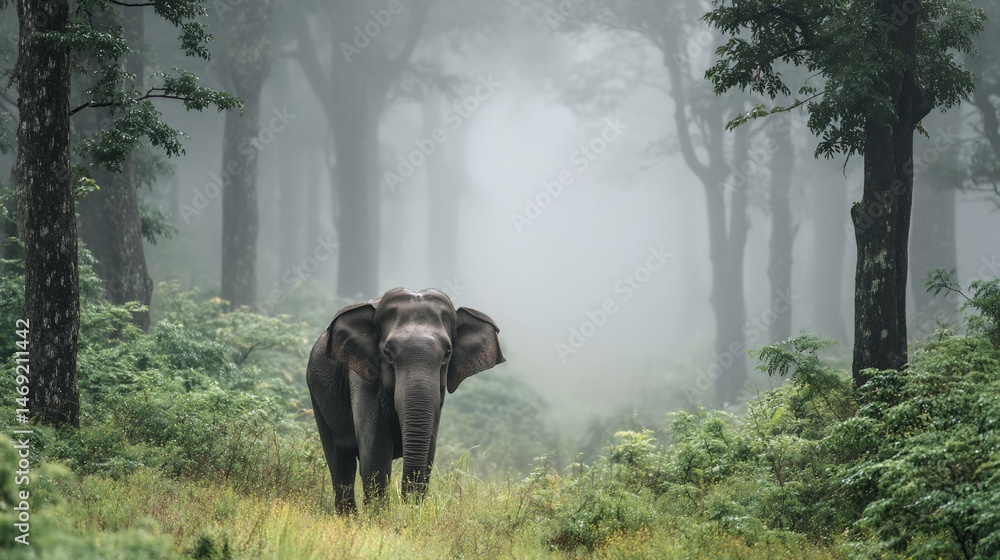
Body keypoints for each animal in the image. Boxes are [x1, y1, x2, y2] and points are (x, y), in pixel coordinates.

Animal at [306, 287, 505, 513]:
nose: (407, 505)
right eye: (387, 353)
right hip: (316, 394)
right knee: (340, 460)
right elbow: (375, 452)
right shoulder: (362, 378)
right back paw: (348, 518)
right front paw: (378, 517)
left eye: (447, 354)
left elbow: (429, 448)